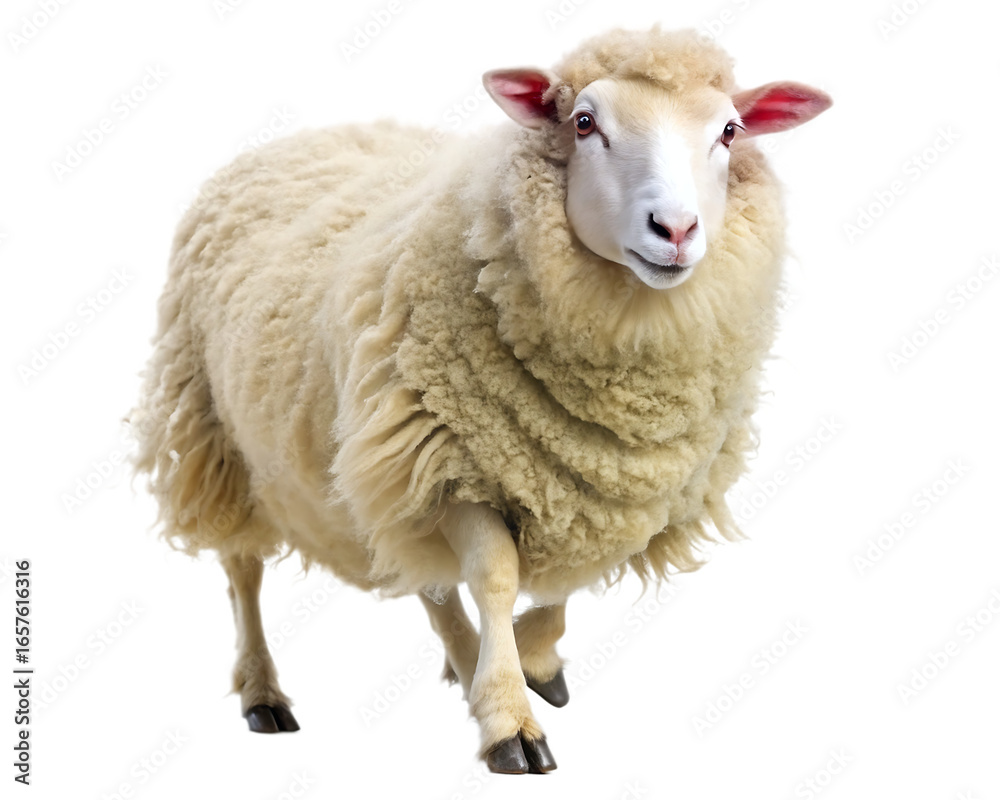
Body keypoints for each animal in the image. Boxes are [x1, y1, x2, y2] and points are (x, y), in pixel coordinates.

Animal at [130, 26, 831, 774]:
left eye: (729, 131)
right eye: (585, 123)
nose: (674, 230)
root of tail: (306, 134)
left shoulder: (611, 480)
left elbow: (567, 579)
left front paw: (531, 661)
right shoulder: (456, 461)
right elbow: (495, 578)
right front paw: (510, 723)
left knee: (426, 578)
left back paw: (466, 664)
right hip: (216, 432)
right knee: (244, 569)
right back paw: (265, 692)